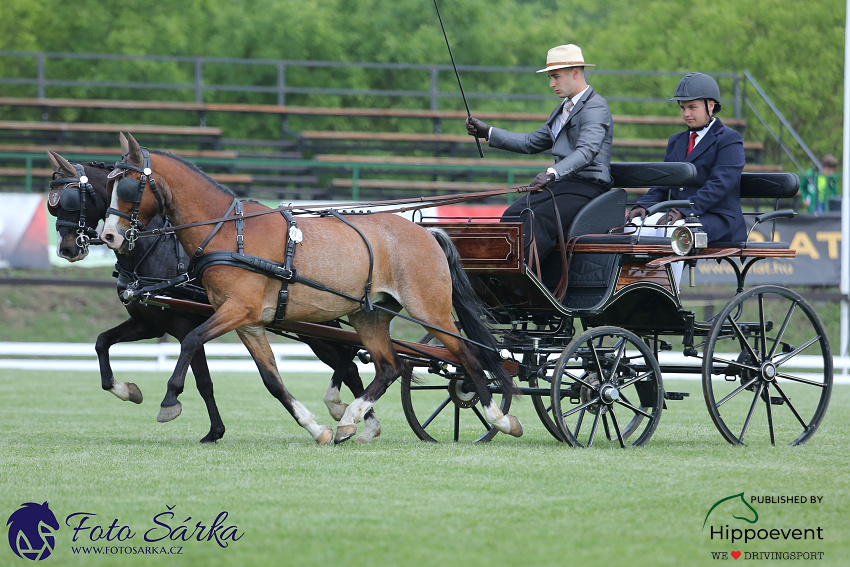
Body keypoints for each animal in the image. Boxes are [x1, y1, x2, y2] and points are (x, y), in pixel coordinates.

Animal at [44, 150, 380, 444]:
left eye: (72, 199)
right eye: (53, 206)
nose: (67, 249)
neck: (157, 251)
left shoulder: (185, 326)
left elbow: (203, 381)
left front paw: (204, 424)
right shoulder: (149, 324)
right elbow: (102, 343)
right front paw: (126, 390)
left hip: (315, 327)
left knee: (349, 361)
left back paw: (353, 417)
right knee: (350, 363)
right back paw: (359, 421)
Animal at [102, 132, 520, 444]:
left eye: (128, 185)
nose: (108, 235)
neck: (228, 232)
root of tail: (427, 232)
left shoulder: (236, 310)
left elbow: (190, 343)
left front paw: (169, 400)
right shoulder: (248, 323)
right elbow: (271, 380)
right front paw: (315, 427)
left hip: (430, 311)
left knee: (468, 356)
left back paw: (497, 417)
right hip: (368, 315)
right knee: (390, 366)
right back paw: (350, 418)